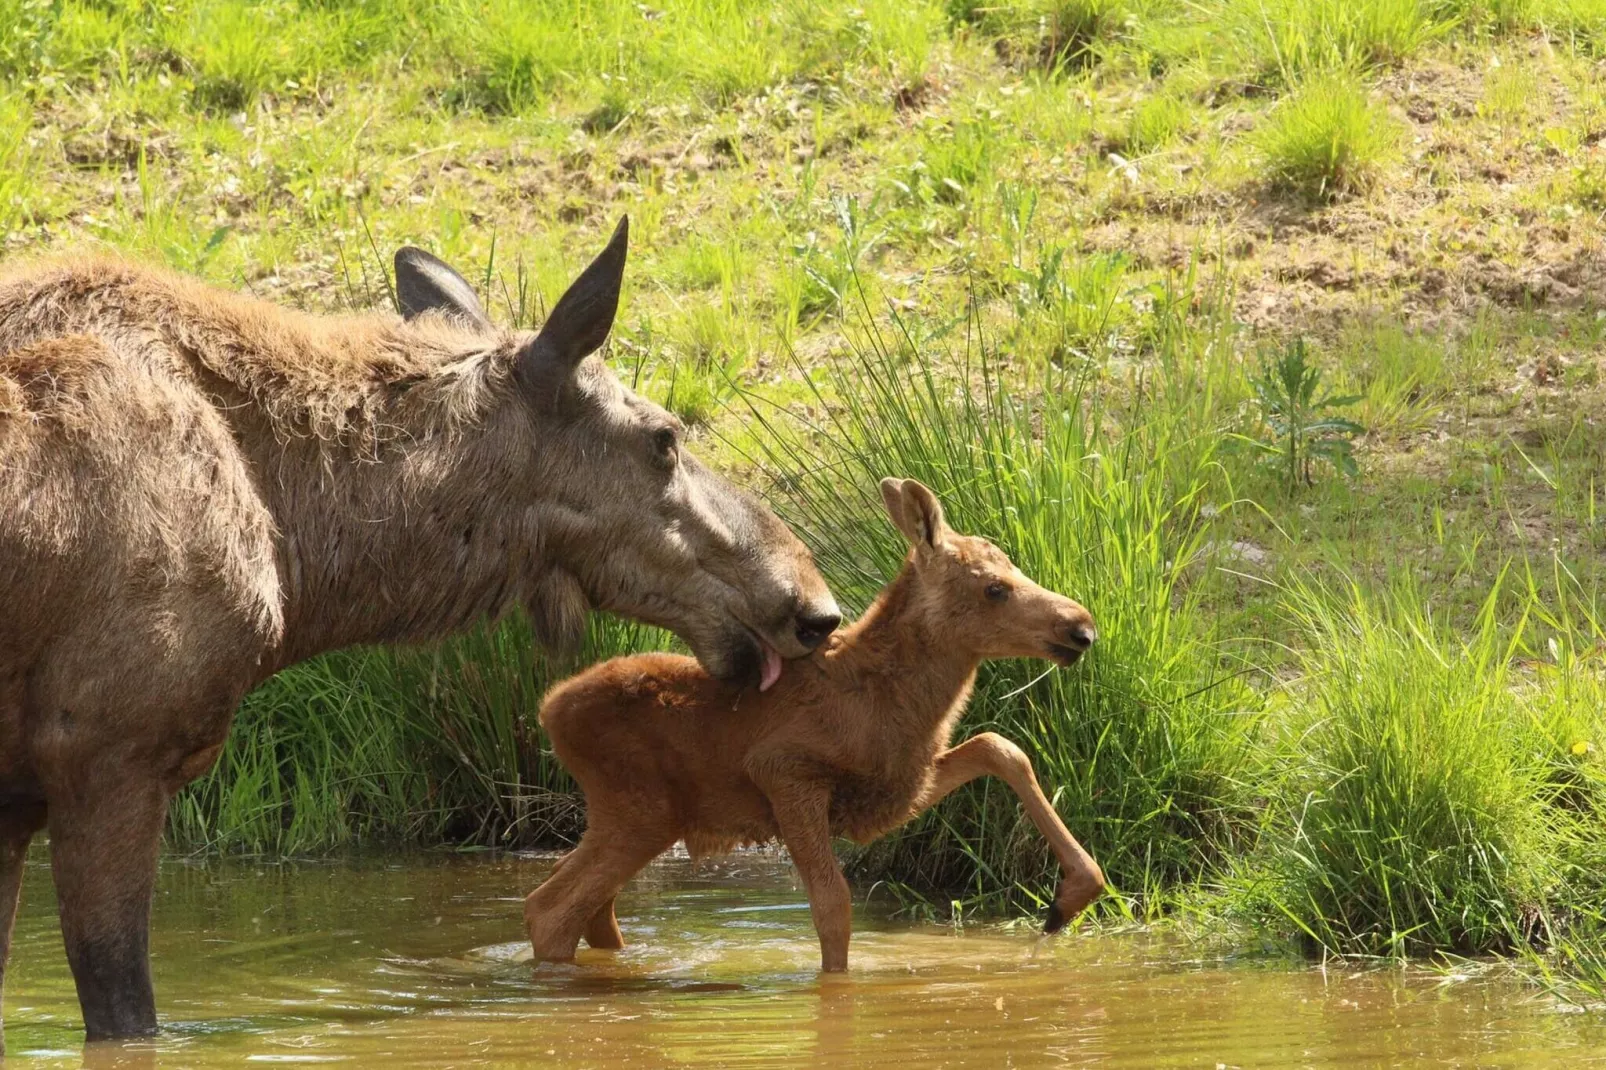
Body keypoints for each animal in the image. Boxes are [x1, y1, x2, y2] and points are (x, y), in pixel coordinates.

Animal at [0, 216, 847, 1041]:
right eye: (664, 438)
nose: (814, 607)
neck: (300, 552)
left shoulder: (22, 797)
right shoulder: (111, 752)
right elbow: (124, 1008)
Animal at [533, 475, 1111, 963]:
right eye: (994, 588)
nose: (1081, 627)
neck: (894, 703)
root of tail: (548, 709)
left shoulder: (895, 787)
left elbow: (999, 746)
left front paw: (1071, 896)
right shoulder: (786, 771)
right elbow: (833, 906)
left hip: (633, 816)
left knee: (586, 903)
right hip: (640, 810)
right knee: (551, 908)